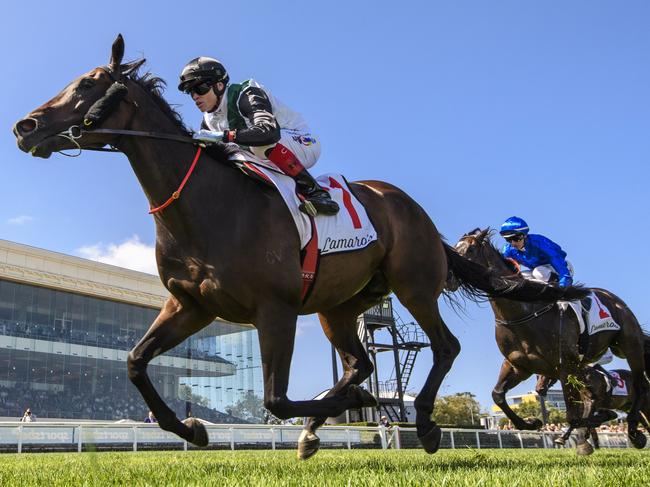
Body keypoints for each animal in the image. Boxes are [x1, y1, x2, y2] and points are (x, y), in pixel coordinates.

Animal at [11, 36, 588, 460]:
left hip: (413, 285)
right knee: (358, 363)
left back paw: (421, 423)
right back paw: (325, 422)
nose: (25, 125)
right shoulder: (192, 305)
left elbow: (274, 396)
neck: (208, 206)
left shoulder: (276, 309)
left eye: (88, 83)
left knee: (444, 347)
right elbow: (134, 362)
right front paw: (193, 428)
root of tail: (410, 206)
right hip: (341, 306)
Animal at [450, 231, 648, 456]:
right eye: (454, 247)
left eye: (471, 249)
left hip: (630, 345)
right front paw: (532, 423)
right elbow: (498, 395)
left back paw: (634, 431)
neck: (523, 312)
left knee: (640, 386)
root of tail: (617, 301)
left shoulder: (564, 365)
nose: (449, 276)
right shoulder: (518, 366)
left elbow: (574, 414)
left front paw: (582, 438)